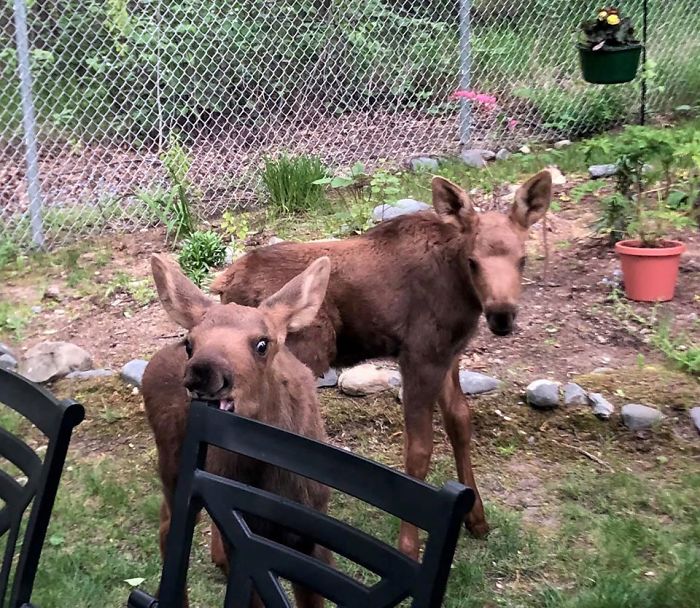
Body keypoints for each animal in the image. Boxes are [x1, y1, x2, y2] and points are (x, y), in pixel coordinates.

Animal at [142, 253, 334, 608]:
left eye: (262, 344)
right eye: (190, 343)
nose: (203, 371)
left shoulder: (313, 537)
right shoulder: (246, 547)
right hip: (171, 465)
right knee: (168, 527)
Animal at [211, 170, 556, 556]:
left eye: (523, 259)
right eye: (473, 261)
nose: (502, 316)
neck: (462, 292)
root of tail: (224, 283)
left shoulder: (449, 354)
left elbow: (460, 424)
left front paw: (477, 518)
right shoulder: (419, 355)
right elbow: (419, 450)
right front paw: (408, 545)